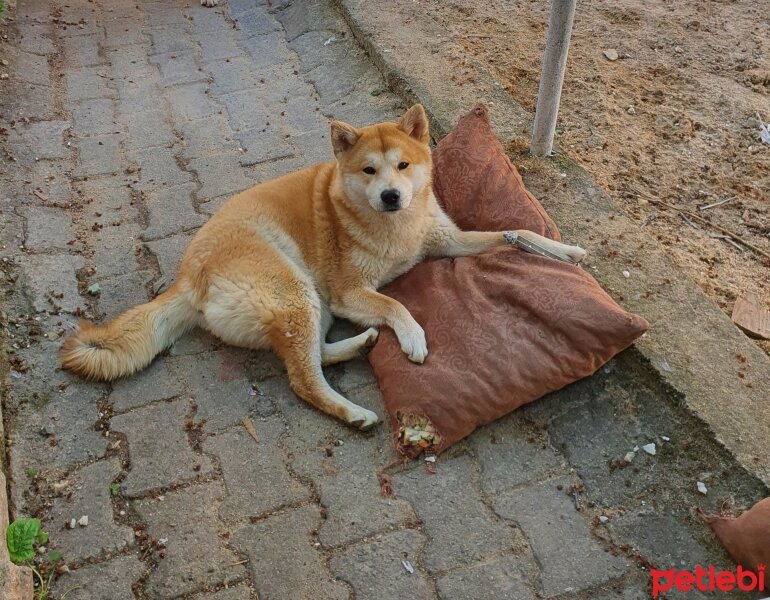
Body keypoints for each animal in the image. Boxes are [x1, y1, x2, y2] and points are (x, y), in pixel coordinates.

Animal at [60, 105, 584, 428]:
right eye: (369, 170)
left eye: (403, 165)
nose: (390, 195)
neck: (395, 227)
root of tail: (188, 275)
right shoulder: (351, 292)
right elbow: (396, 304)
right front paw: (413, 337)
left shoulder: (446, 241)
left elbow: (510, 233)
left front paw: (563, 251)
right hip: (297, 292)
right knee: (303, 379)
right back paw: (352, 411)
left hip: (311, 303)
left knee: (313, 355)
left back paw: (360, 345)